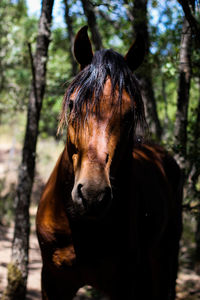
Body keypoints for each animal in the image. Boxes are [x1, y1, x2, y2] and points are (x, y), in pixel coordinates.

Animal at [36, 26, 183, 300]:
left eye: (130, 113)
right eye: (72, 104)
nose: (93, 194)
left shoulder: (125, 284)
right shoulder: (53, 280)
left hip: (164, 257)